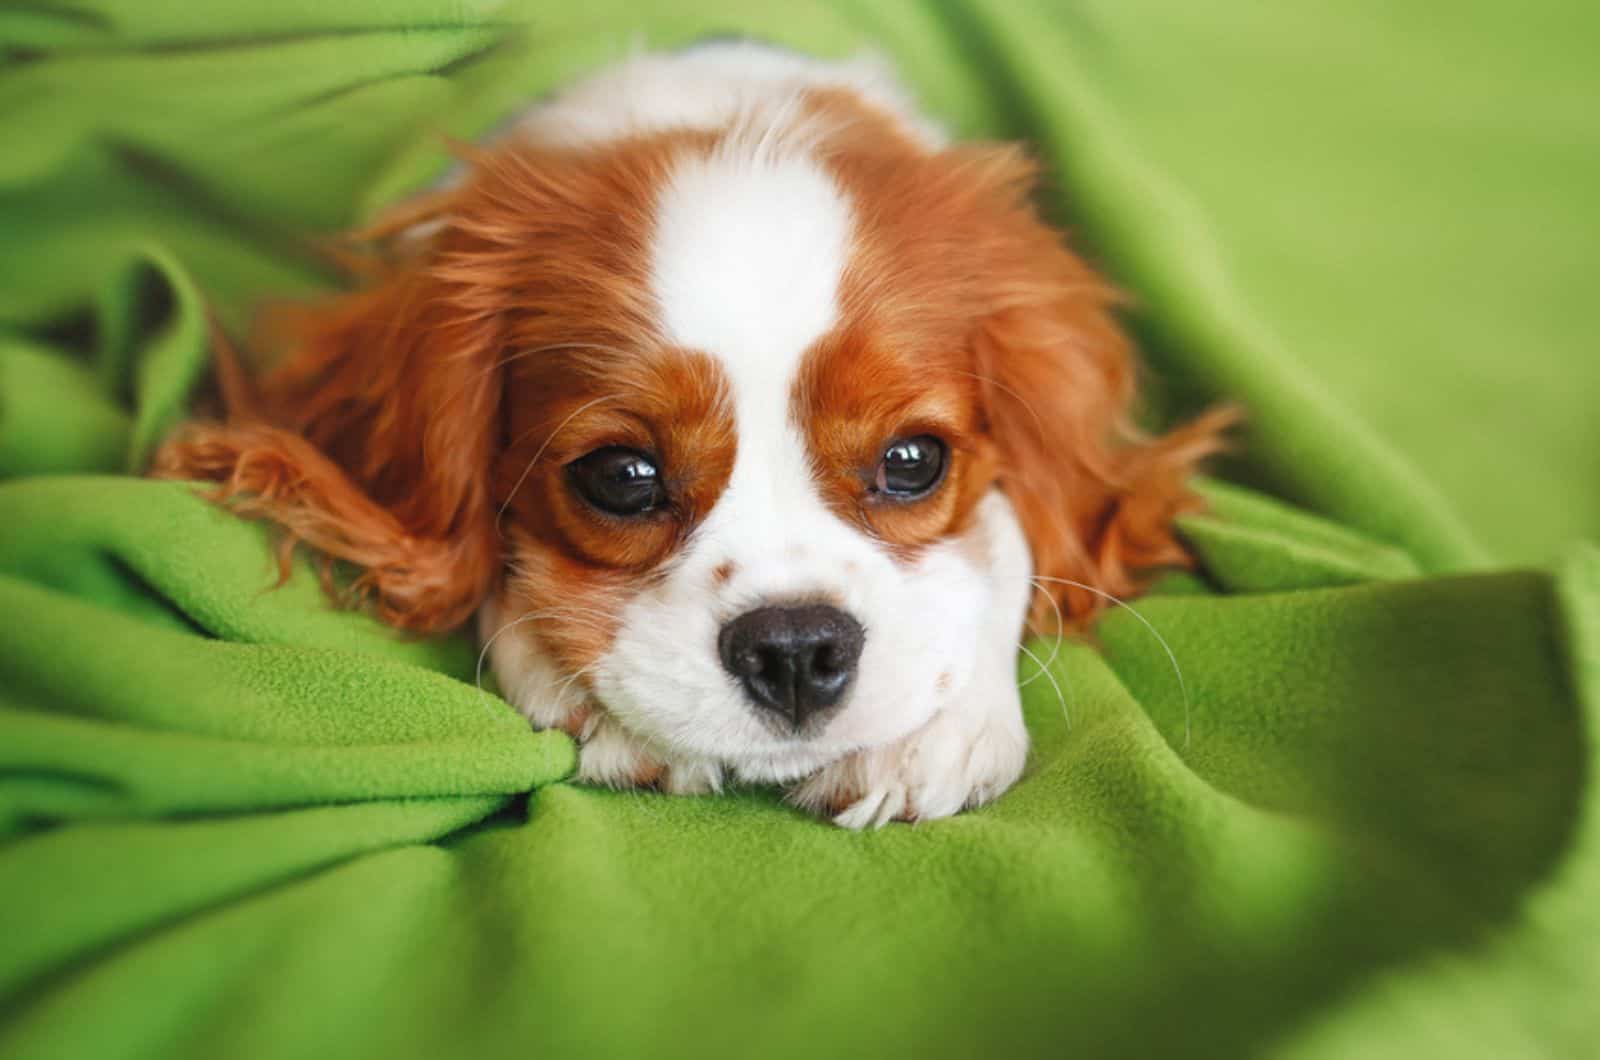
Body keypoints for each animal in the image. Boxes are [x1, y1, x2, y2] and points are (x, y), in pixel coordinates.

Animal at [159, 43, 1222, 832]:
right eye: (623, 476)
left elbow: (1012, 536)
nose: (794, 648)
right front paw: (572, 676)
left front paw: (936, 727)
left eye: (913, 462)